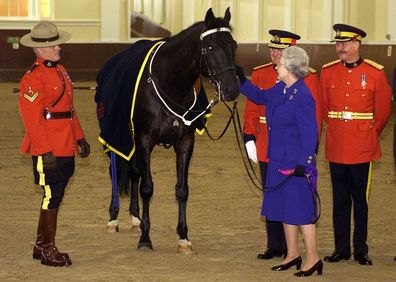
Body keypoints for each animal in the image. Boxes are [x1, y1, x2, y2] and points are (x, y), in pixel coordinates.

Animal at [94, 7, 240, 252]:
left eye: (234, 46)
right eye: (211, 47)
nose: (232, 89)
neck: (170, 82)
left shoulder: (185, 143)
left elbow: (181, 189)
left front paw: (184, 238)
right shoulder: (144, 141)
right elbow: (147, 188)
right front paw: (145, 239)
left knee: (134, 172)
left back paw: (135, 218)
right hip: (117, 137)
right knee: (115, 171)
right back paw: (113, 218)